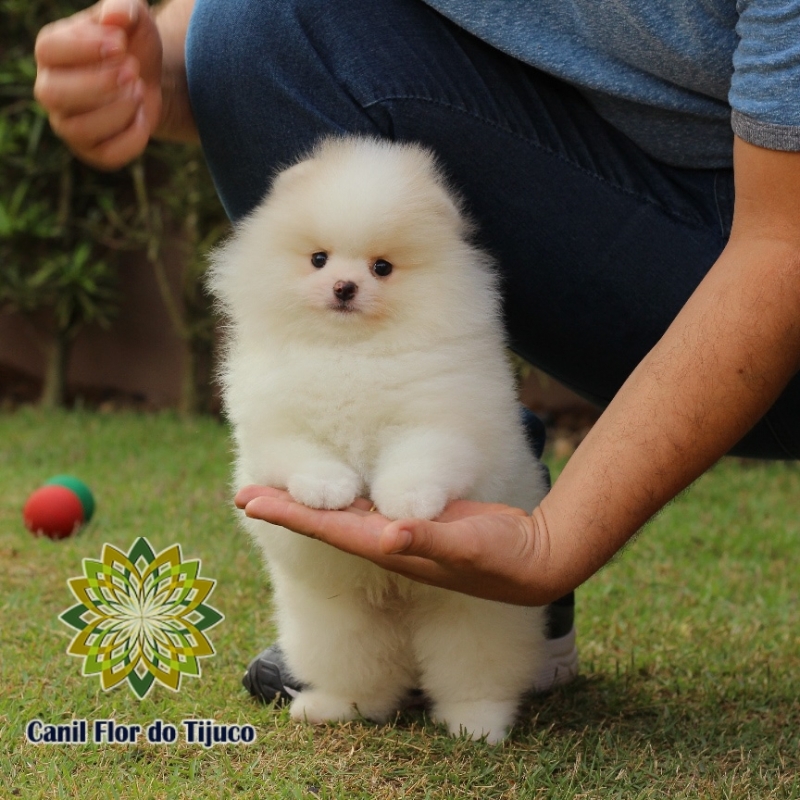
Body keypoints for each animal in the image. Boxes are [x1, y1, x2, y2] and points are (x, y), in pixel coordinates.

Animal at [209, 138, 552, 744]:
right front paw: (329, 490)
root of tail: (397, 599)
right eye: (319, 259)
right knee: (364, 676)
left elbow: (419, 460)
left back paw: (478, 724)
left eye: (383, 267)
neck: (351, 351)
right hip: (333, 618)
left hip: (476, 612)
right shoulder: (277, 428)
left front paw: (406, 502)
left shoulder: (441, 421)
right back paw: (330, 707)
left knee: (476, 672)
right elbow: (304, 456)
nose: (345, 287)